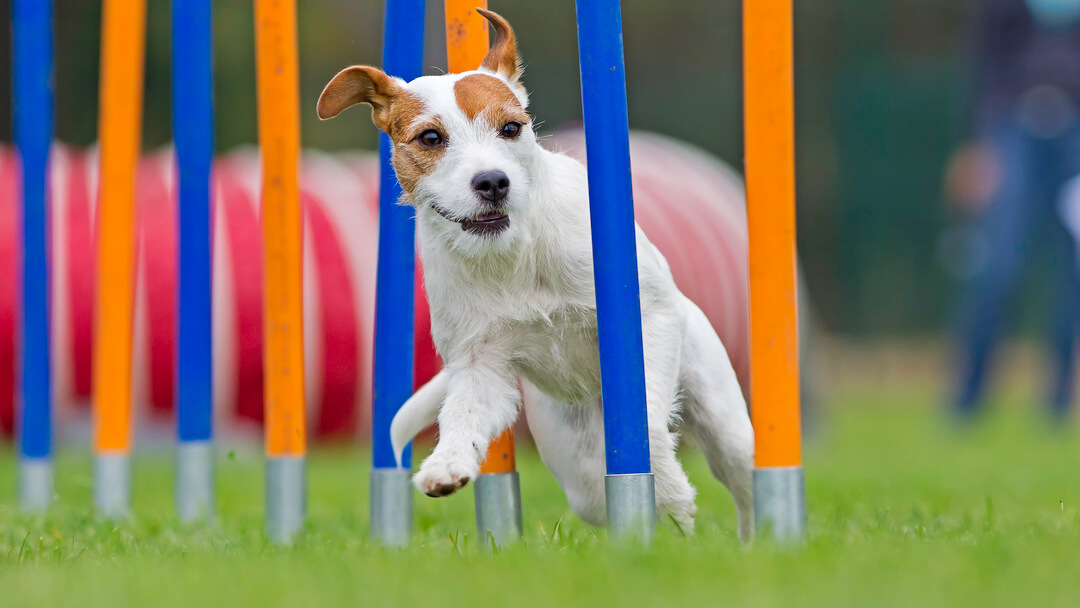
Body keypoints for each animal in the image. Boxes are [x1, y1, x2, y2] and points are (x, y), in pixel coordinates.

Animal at [317, 10, 751, 542]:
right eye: (430, 138)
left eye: (511, 127)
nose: (492, 181)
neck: (513, 255)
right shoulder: (479, 362)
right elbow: (462, 416)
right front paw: (446, 465)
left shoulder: (649, 316)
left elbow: (647, 425)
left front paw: (669, 487)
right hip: (577, 465)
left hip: (723, 417)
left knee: (742, 480)